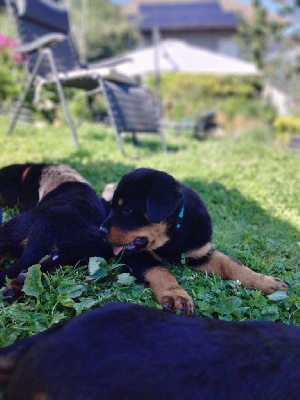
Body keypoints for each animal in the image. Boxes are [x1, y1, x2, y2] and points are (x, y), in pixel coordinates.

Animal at [100, 169, 288, 316]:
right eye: (113, 207)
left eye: (127, 209)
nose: (101, 231)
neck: (174, 236)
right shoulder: (133, 256)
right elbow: (160, 270)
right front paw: (177, 295)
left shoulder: (201, 252)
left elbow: (233, 265)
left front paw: (268, 282)